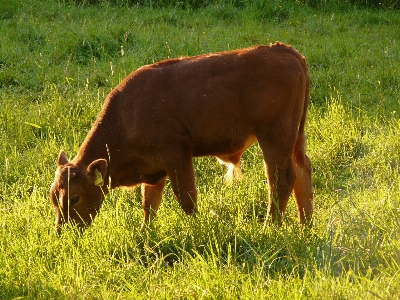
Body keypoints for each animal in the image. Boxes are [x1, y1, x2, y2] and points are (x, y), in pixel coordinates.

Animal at [49, 41, 312, 232]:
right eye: (53, 197)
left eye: (75, 198)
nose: (63, 232)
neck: (127, 114)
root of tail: (283, 50)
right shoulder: (153, 171)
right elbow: (149, 205)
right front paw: (145, 233)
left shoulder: (176, 156)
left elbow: (187, 199)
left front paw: (197, 228)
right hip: (295, 137)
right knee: (302, 172)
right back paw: (305, 226)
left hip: (275, 136)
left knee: (281, 180)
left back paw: (270, 227)